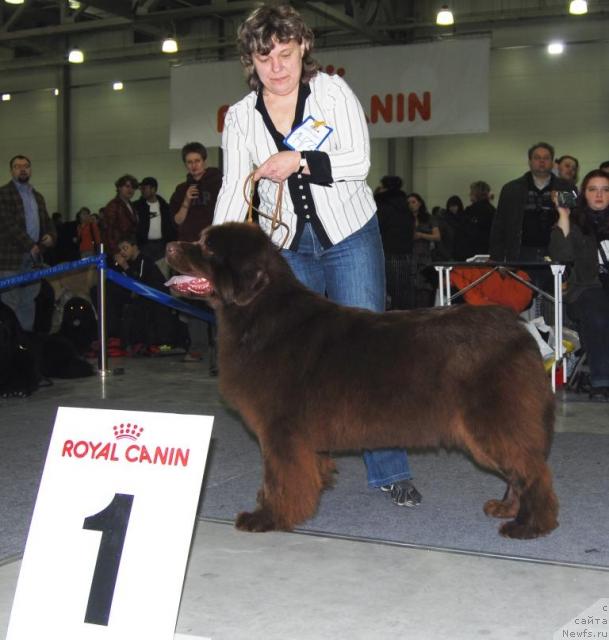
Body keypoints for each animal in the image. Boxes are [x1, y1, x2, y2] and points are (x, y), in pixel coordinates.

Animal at [164, 224, 560, 540]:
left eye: (208, 248)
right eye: (200, 238)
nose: (168, 245)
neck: (257, 314)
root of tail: (519, 330)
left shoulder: (280, 429)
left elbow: (278, 477)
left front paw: (267, 517)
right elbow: (301, 471)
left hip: (491, 421)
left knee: (533, 472)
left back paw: (529, 526)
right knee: (521, 471)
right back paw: (507, 509)